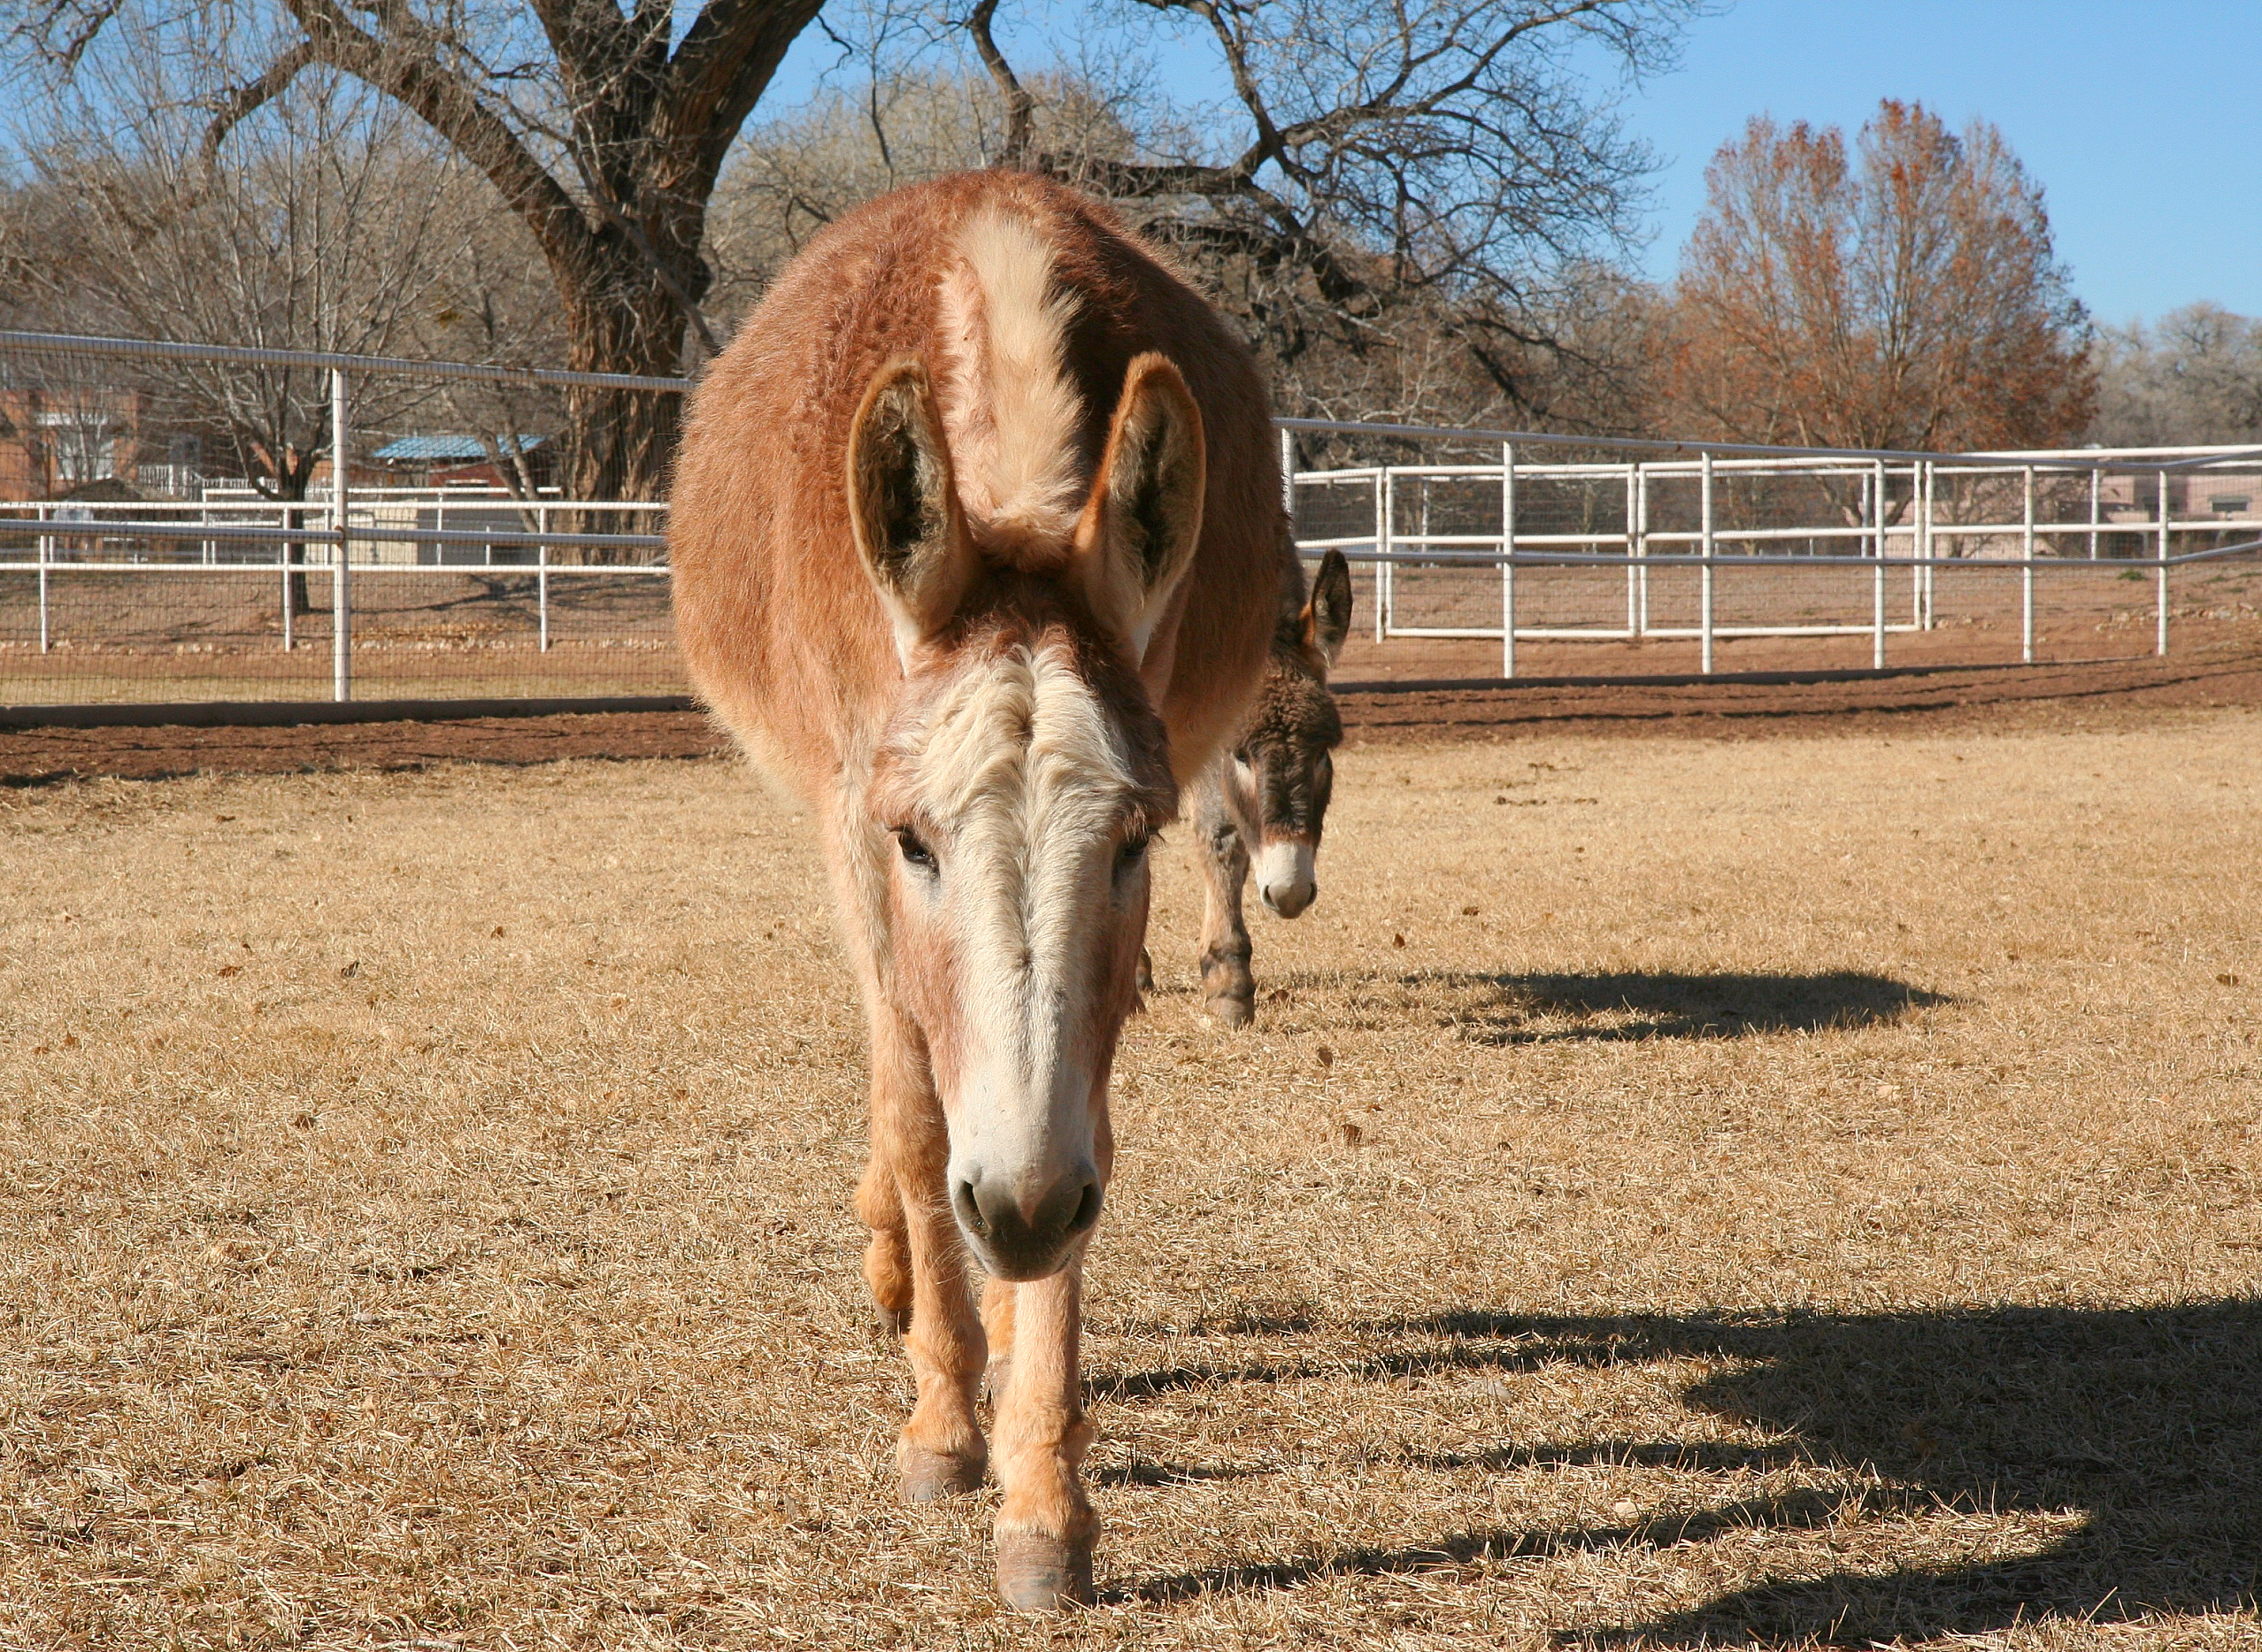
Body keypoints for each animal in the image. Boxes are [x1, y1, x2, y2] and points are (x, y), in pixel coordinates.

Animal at [669, 170, 1287, 1610]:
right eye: (917, 844)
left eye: (1132, 842)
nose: (1021, 1206)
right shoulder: (853, 830)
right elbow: (908, 1116)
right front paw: (949, 1425)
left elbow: (1082, 1127)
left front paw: (1044, 1494)